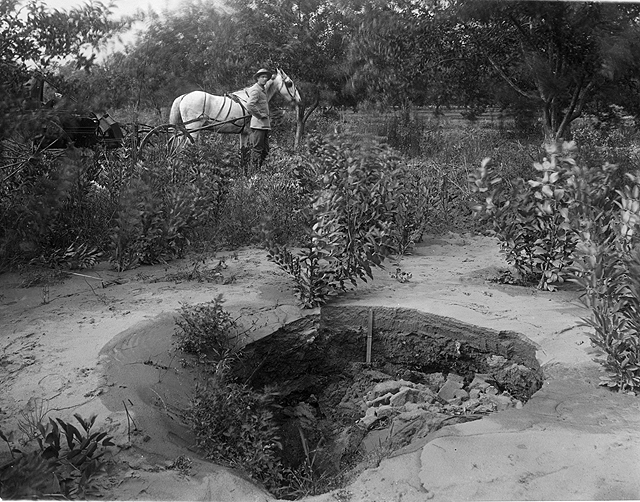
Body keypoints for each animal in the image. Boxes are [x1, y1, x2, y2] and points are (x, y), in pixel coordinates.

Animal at [169, 68, 302, 154]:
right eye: (289, 83)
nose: (299, 100)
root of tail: (183, 96)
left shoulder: (244, 133)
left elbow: (243, 152)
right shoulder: (251, 133)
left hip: (184, 131)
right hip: (193, 131)